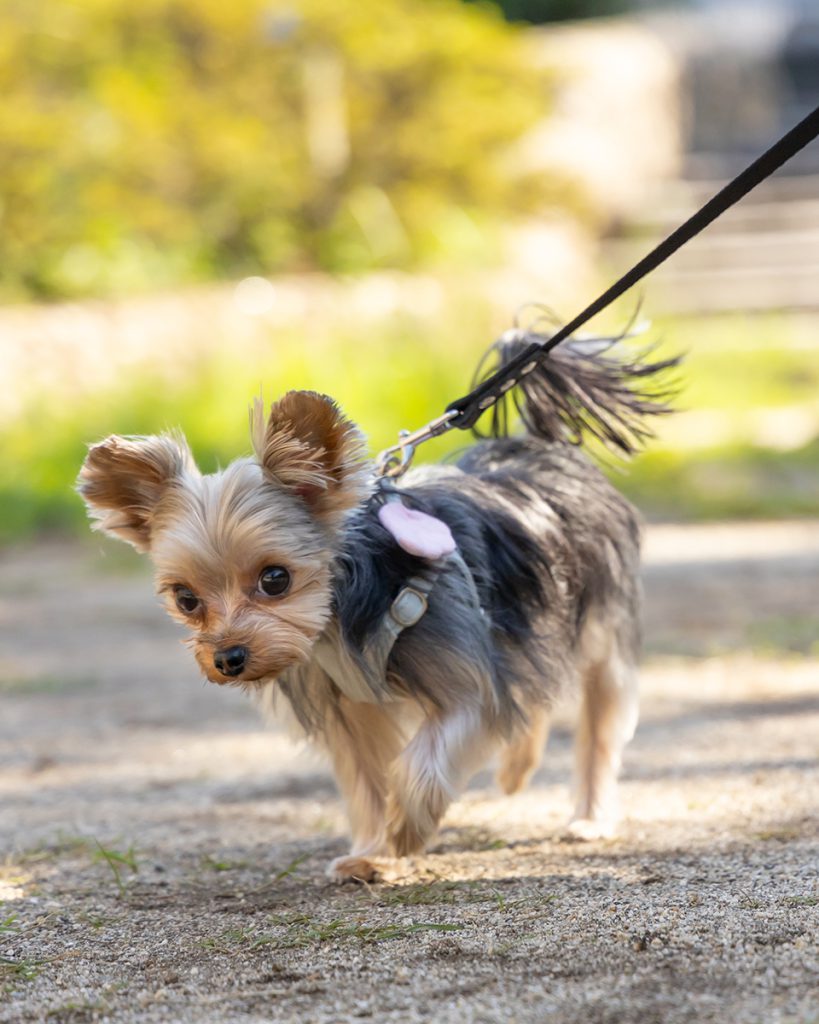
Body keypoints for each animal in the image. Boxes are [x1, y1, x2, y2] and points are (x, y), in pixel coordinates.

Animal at [79, 333, 675, 880]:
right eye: (186, 599)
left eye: (275, 579)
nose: (228, 658)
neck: (342, 613)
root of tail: (540, 446)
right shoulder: (350, 707)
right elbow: (366, 780)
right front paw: (371, 851)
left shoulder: (466, 681)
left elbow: (427, 761)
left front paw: (407, 829)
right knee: (534, 692)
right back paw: (516, 770)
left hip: (599, 624)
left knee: (596, 718)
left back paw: (589, 818)